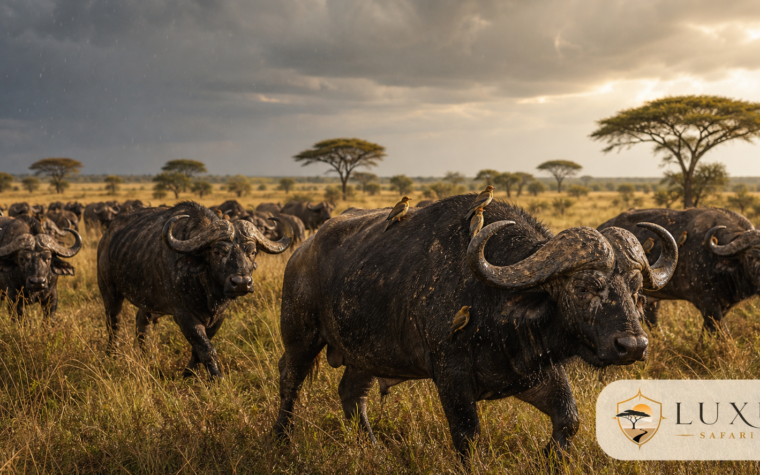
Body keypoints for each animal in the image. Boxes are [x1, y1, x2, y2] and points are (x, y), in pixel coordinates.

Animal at [97, 202, 292, 377]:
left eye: (252, 252)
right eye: (218, 251)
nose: (242, 282)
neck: (206, 290)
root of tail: (106, 237)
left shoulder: (219, 316)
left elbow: (199, 347)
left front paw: (190, 373)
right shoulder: (183, 315)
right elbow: (206, 348)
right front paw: (217, 378)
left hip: (149, 301)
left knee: (141, 323)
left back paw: (149, 358)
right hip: (110, 292)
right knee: (114, 323)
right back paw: (112, 354)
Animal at [273, 195, 677, 464]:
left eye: (636, 290)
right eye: (585, 287)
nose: (633, 346)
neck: (495, 303)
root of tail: (302, 252)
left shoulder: (532, 373)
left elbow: (569, 420)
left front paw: (546, 457)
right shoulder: (450, 375)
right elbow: (467, 437)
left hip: (367, 354)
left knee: (352, 393)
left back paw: (374, 448)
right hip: (300, 336)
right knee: (289, 380)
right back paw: (281, 442)